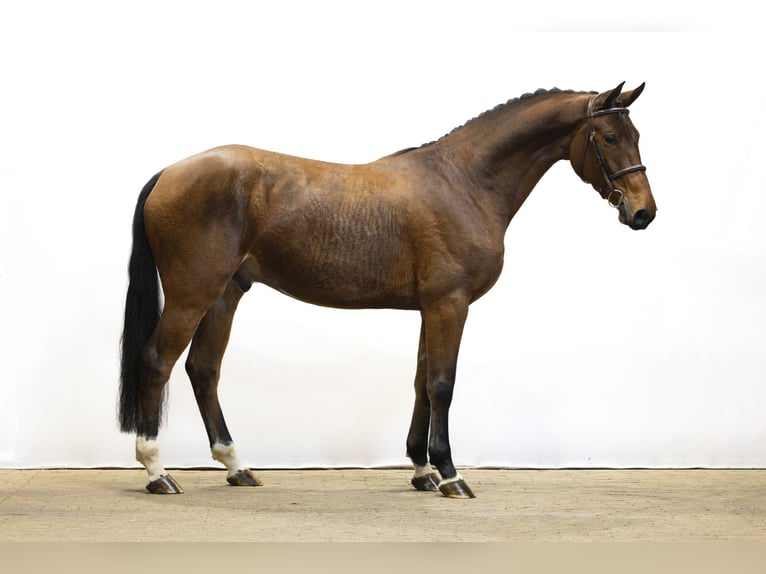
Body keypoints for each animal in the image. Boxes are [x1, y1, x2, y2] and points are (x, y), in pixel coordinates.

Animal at [119, 83, 656, 498]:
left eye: (636, 136)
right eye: (610, 137)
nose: (643, 212)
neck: (463, 183)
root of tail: (170, 172)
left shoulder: (430, 308)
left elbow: (421, 382)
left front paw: (421, 470)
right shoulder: (449, 305)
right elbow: (442, 384)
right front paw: (450, 475)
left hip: (226, 294)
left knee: (203, 369)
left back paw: (237, 467)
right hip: (193, 294)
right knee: (157, 362)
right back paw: (157, 472)